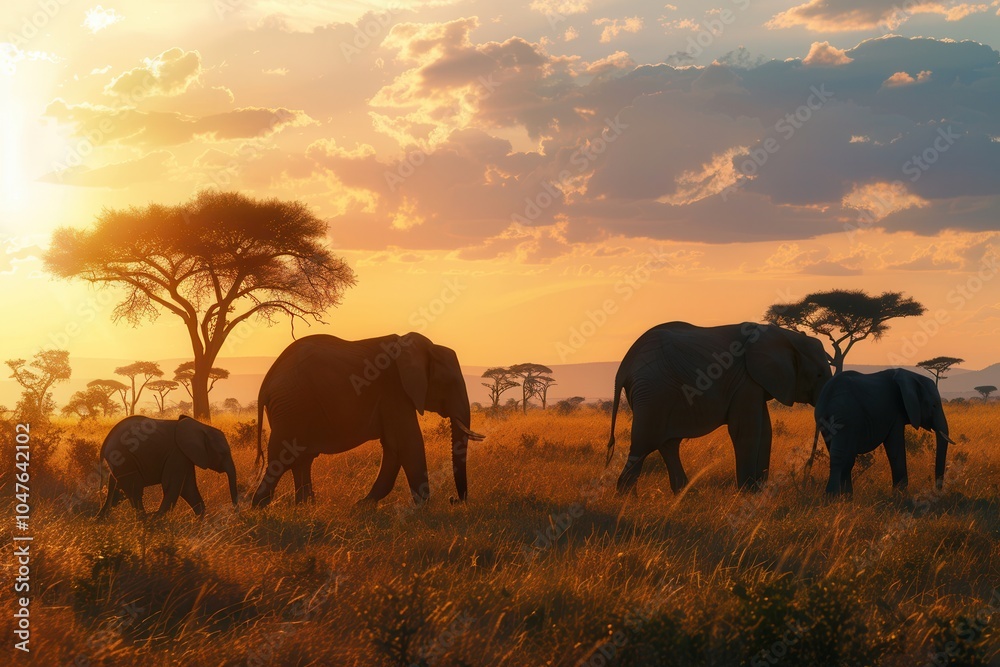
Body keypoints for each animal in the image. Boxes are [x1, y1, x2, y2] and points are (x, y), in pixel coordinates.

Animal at [97, 415, 238, 518]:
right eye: (223, 453)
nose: (234, 513)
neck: (202, 427)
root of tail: (106, 440)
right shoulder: (177, 454)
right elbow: (173, 486)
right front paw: (157, 520)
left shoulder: (185, 456)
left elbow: (189, 488)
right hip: (125, 459)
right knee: (134, 491)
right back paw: (145, 523)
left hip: (120, 464)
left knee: (116, 493)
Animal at [250, 332, 484, 508]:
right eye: (449, 383)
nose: (454, 500)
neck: (425, 348)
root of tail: (265, 384)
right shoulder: (395, 390)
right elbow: (408, 443)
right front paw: (424, 509)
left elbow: (394, 447)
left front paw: (362, 505)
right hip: (292, 406)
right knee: (282, 457)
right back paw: (259, 506)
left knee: (302, 458)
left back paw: (305, 506)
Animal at [607, 322, 831, 495]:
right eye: (819, 375)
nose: (807, 472)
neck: (786, 336)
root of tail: (623, 368)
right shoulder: (745, 381)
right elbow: (746, 431)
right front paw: (748, 493)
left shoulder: (754, 383)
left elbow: (765, 431)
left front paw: (759, 491)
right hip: (652, 393)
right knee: (643, 443)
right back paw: (628, 498)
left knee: (668, 444)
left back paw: (686, 495)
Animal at [814, 368, 952, 495]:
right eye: (934, 405)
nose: (937, 490)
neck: (910, 375)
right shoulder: (895, 414)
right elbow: (895, 449)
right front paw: (900, 496)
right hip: (848, 417)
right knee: (844, 457)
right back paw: (837, 497)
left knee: (842, 456)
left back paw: (842, 498)